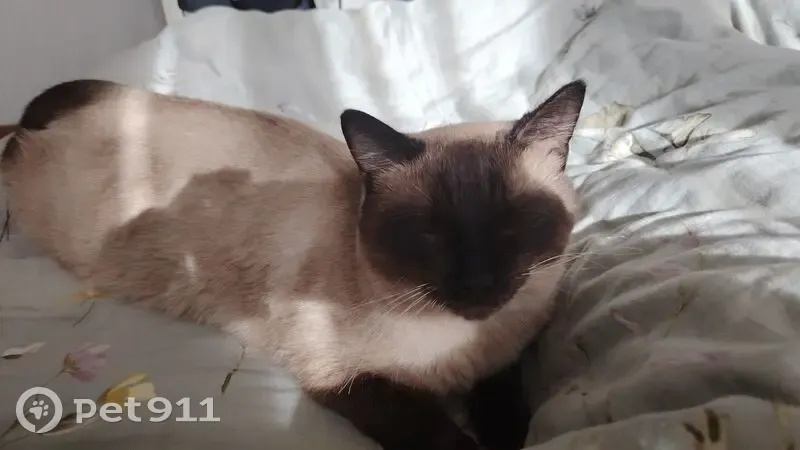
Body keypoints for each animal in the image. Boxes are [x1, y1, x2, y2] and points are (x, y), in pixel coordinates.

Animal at [0, 78, 586, 450]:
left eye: (513, 224)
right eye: (429, 234)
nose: (478, 282)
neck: (462, 350)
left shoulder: (502, 361)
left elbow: (510, 410)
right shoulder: (345, 378)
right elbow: (438, 435)